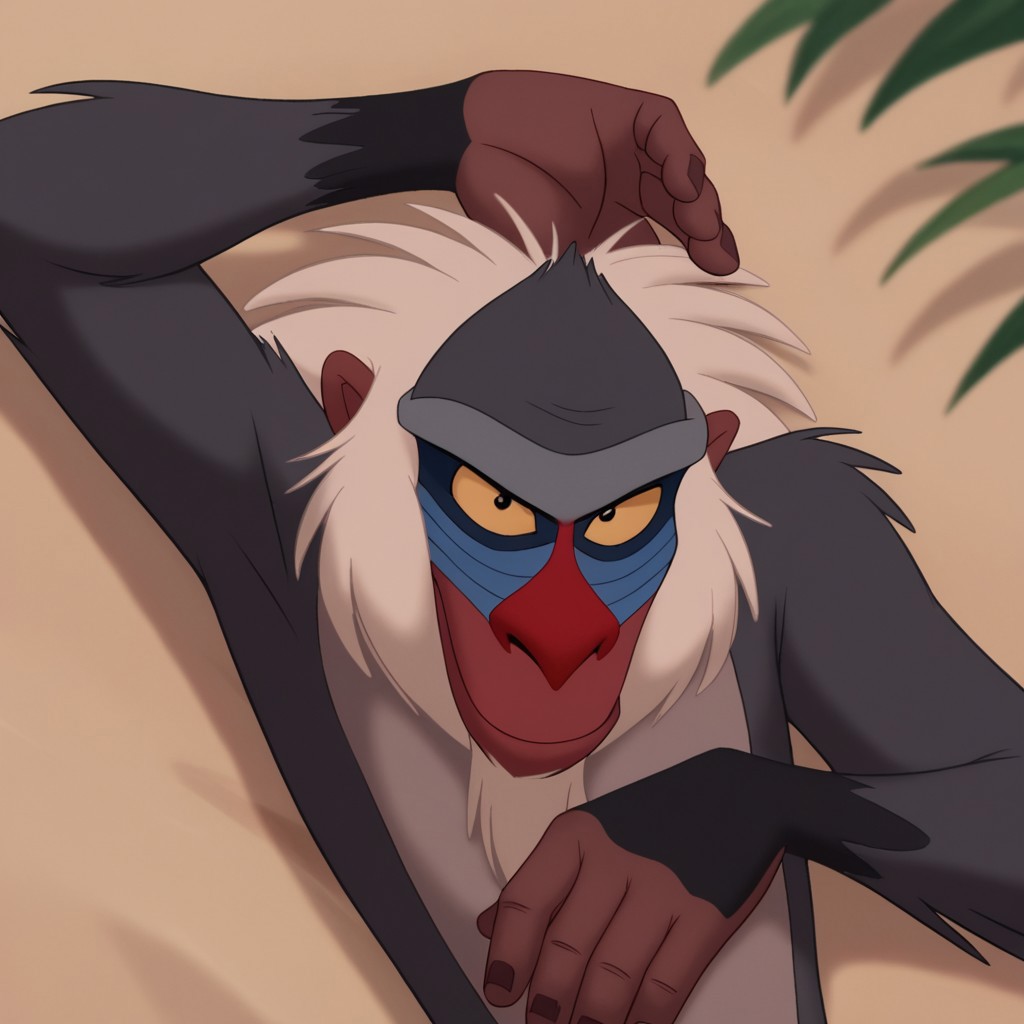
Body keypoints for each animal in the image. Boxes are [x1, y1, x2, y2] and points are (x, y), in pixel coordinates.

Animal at [1, 70, 1022, 1024]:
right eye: (492, 502)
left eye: (620, 517)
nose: (560, 643)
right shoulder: (254, 463)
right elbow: (45, 201)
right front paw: (542, 122)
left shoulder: (819, 532)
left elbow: (994, 758)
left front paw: (673, 839)